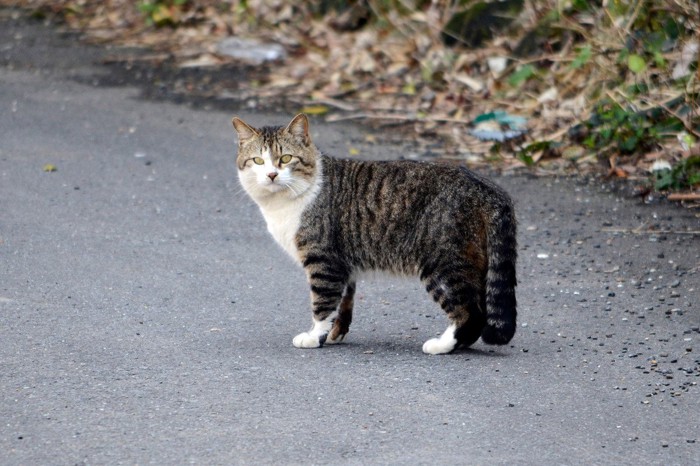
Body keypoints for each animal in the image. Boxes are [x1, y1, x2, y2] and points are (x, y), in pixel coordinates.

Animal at [232, 114, 516, 354]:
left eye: (286, 159)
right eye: (258, 161)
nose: (271, 174)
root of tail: (487, 188)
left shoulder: (323, 260)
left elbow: (322, 303)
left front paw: (314, 337)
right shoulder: (344, 264)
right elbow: (344, 302)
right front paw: (334, 334)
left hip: (442, 263)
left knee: (470, 312)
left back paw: (443, 345)